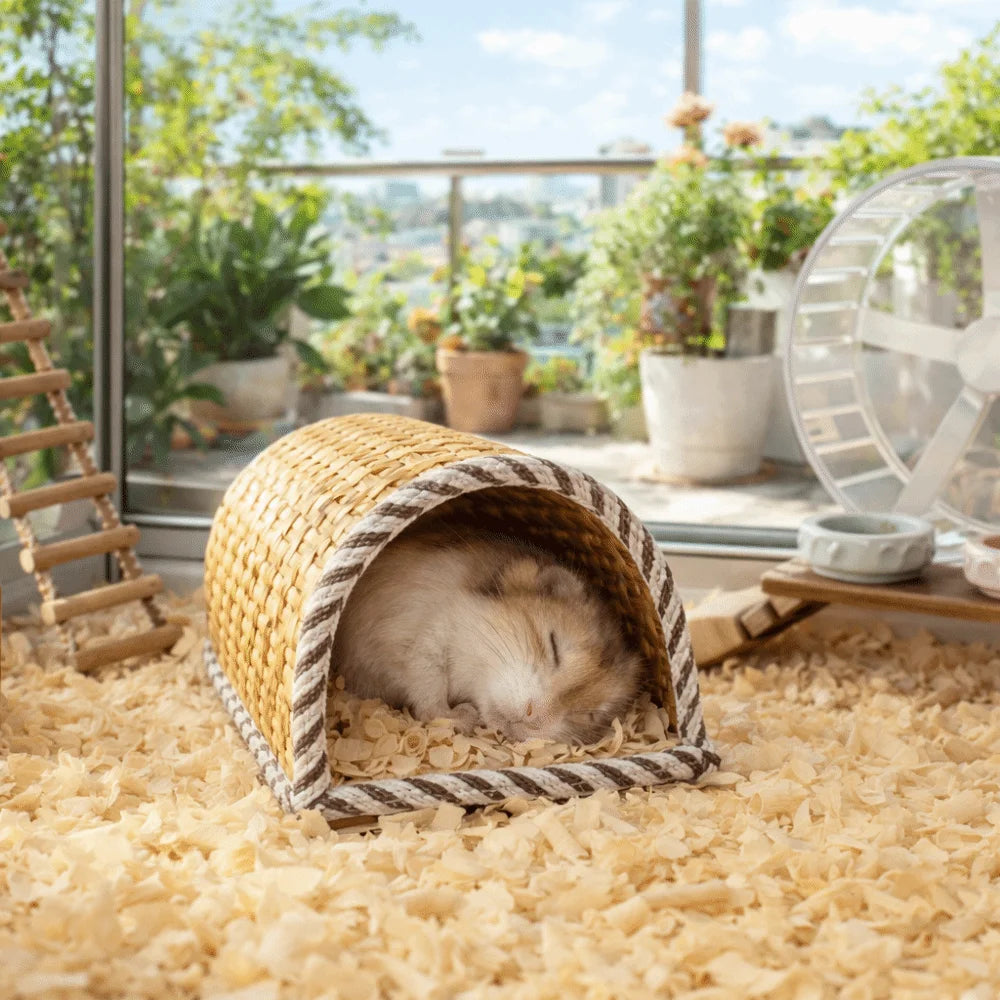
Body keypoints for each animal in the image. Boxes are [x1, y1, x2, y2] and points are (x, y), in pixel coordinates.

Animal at [331, 528, 643, 744]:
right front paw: (462, 715)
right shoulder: (430, 632)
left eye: (589, 714)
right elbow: (428, 685)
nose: (532, 718)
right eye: (553, 645)